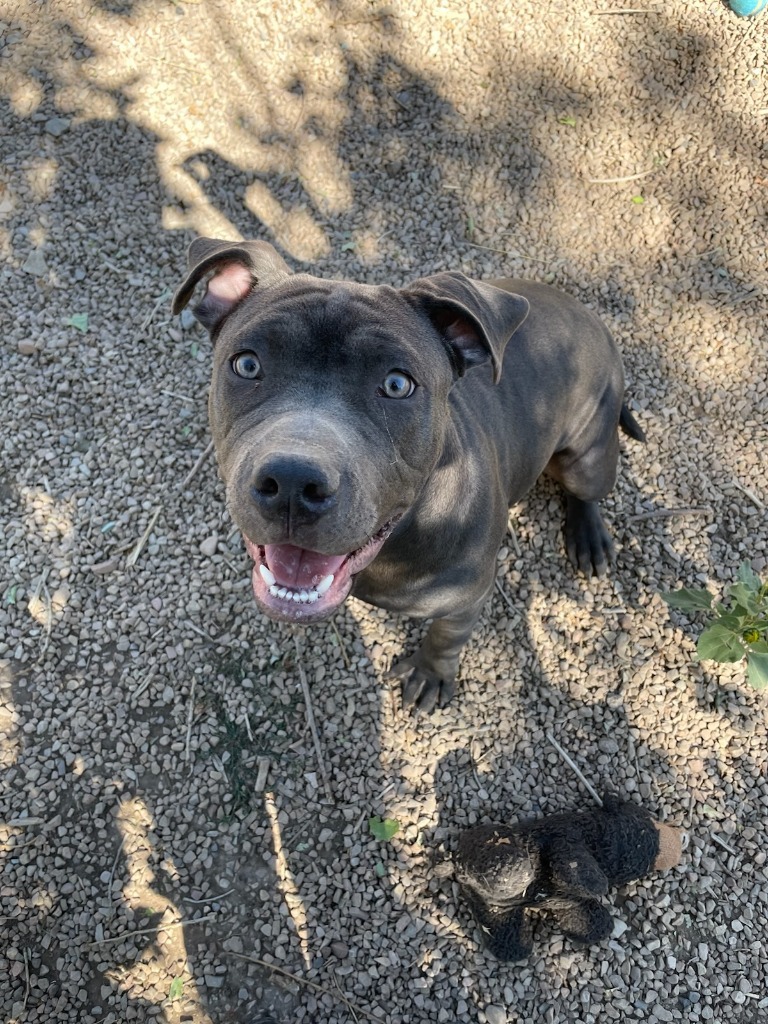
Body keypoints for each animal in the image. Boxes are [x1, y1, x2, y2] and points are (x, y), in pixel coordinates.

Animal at [173, 239, 643, 712]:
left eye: (397, 385)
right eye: (247, 365)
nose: (292, 482)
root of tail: (589, 317)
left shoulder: (467, 597)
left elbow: (446, 637)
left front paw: (431, 673)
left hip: (587, 456)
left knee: (588, 489)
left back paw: (588, 536)